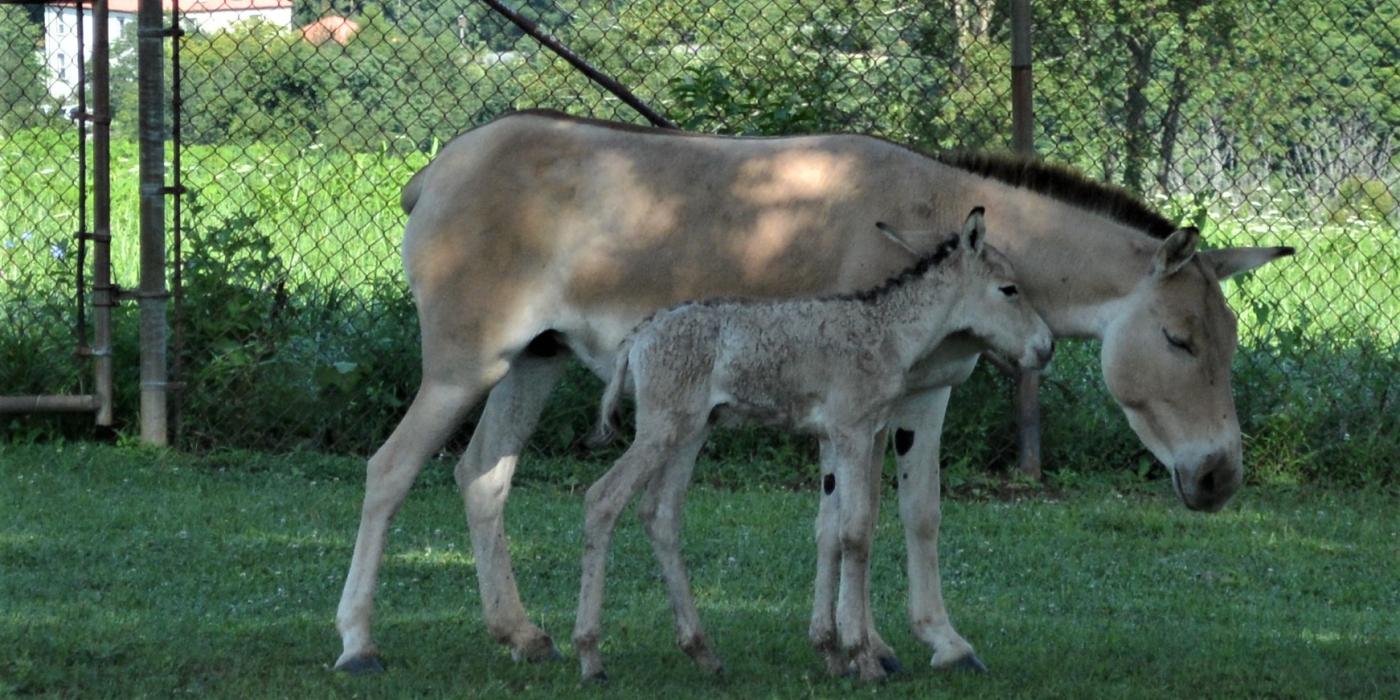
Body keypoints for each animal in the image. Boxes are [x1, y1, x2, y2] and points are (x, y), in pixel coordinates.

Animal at [576, 207, 1052, 677]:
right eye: (1009, 289)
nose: (1046, 347)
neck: (890, 331)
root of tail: (639, 335)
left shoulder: (844, 437)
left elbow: (833, 532)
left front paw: (834, 651)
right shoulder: (854, 431)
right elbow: (855, 531)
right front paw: (864, 656)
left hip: (690, 432)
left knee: (660, 515)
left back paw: (702, 652)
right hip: (660, 430)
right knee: (603, 498)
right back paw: (590, 654)